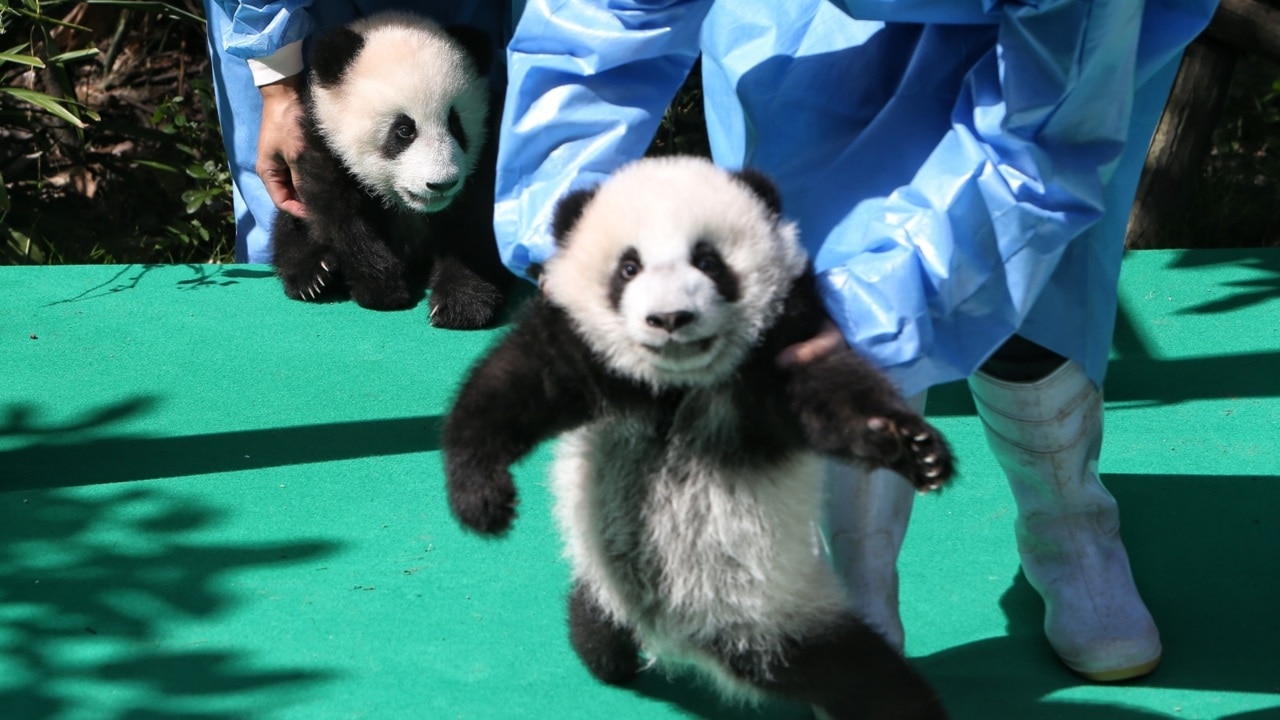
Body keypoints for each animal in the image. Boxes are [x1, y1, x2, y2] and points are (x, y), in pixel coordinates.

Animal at [270, 13, 509, 327]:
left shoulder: (485, 158)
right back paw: (314, 273)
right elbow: (343, 218)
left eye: (455, 124)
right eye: (404, 130)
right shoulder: (325, 145)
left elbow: (473, 223)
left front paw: (461, 304)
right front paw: (382, 289)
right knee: (290, 228)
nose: (441, 184)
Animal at [440, 158, 952, 717]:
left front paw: (911, 447)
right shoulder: (585, 349)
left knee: (863, 677)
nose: (669, 318)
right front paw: (483, 498)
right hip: (614, 570)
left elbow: (833, 399)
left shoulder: (781, 348)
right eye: (629, 268)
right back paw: (599, 643)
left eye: (708, 261)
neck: (676, 386)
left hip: (782, 615)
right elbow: (512, 389)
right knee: (600, 618)